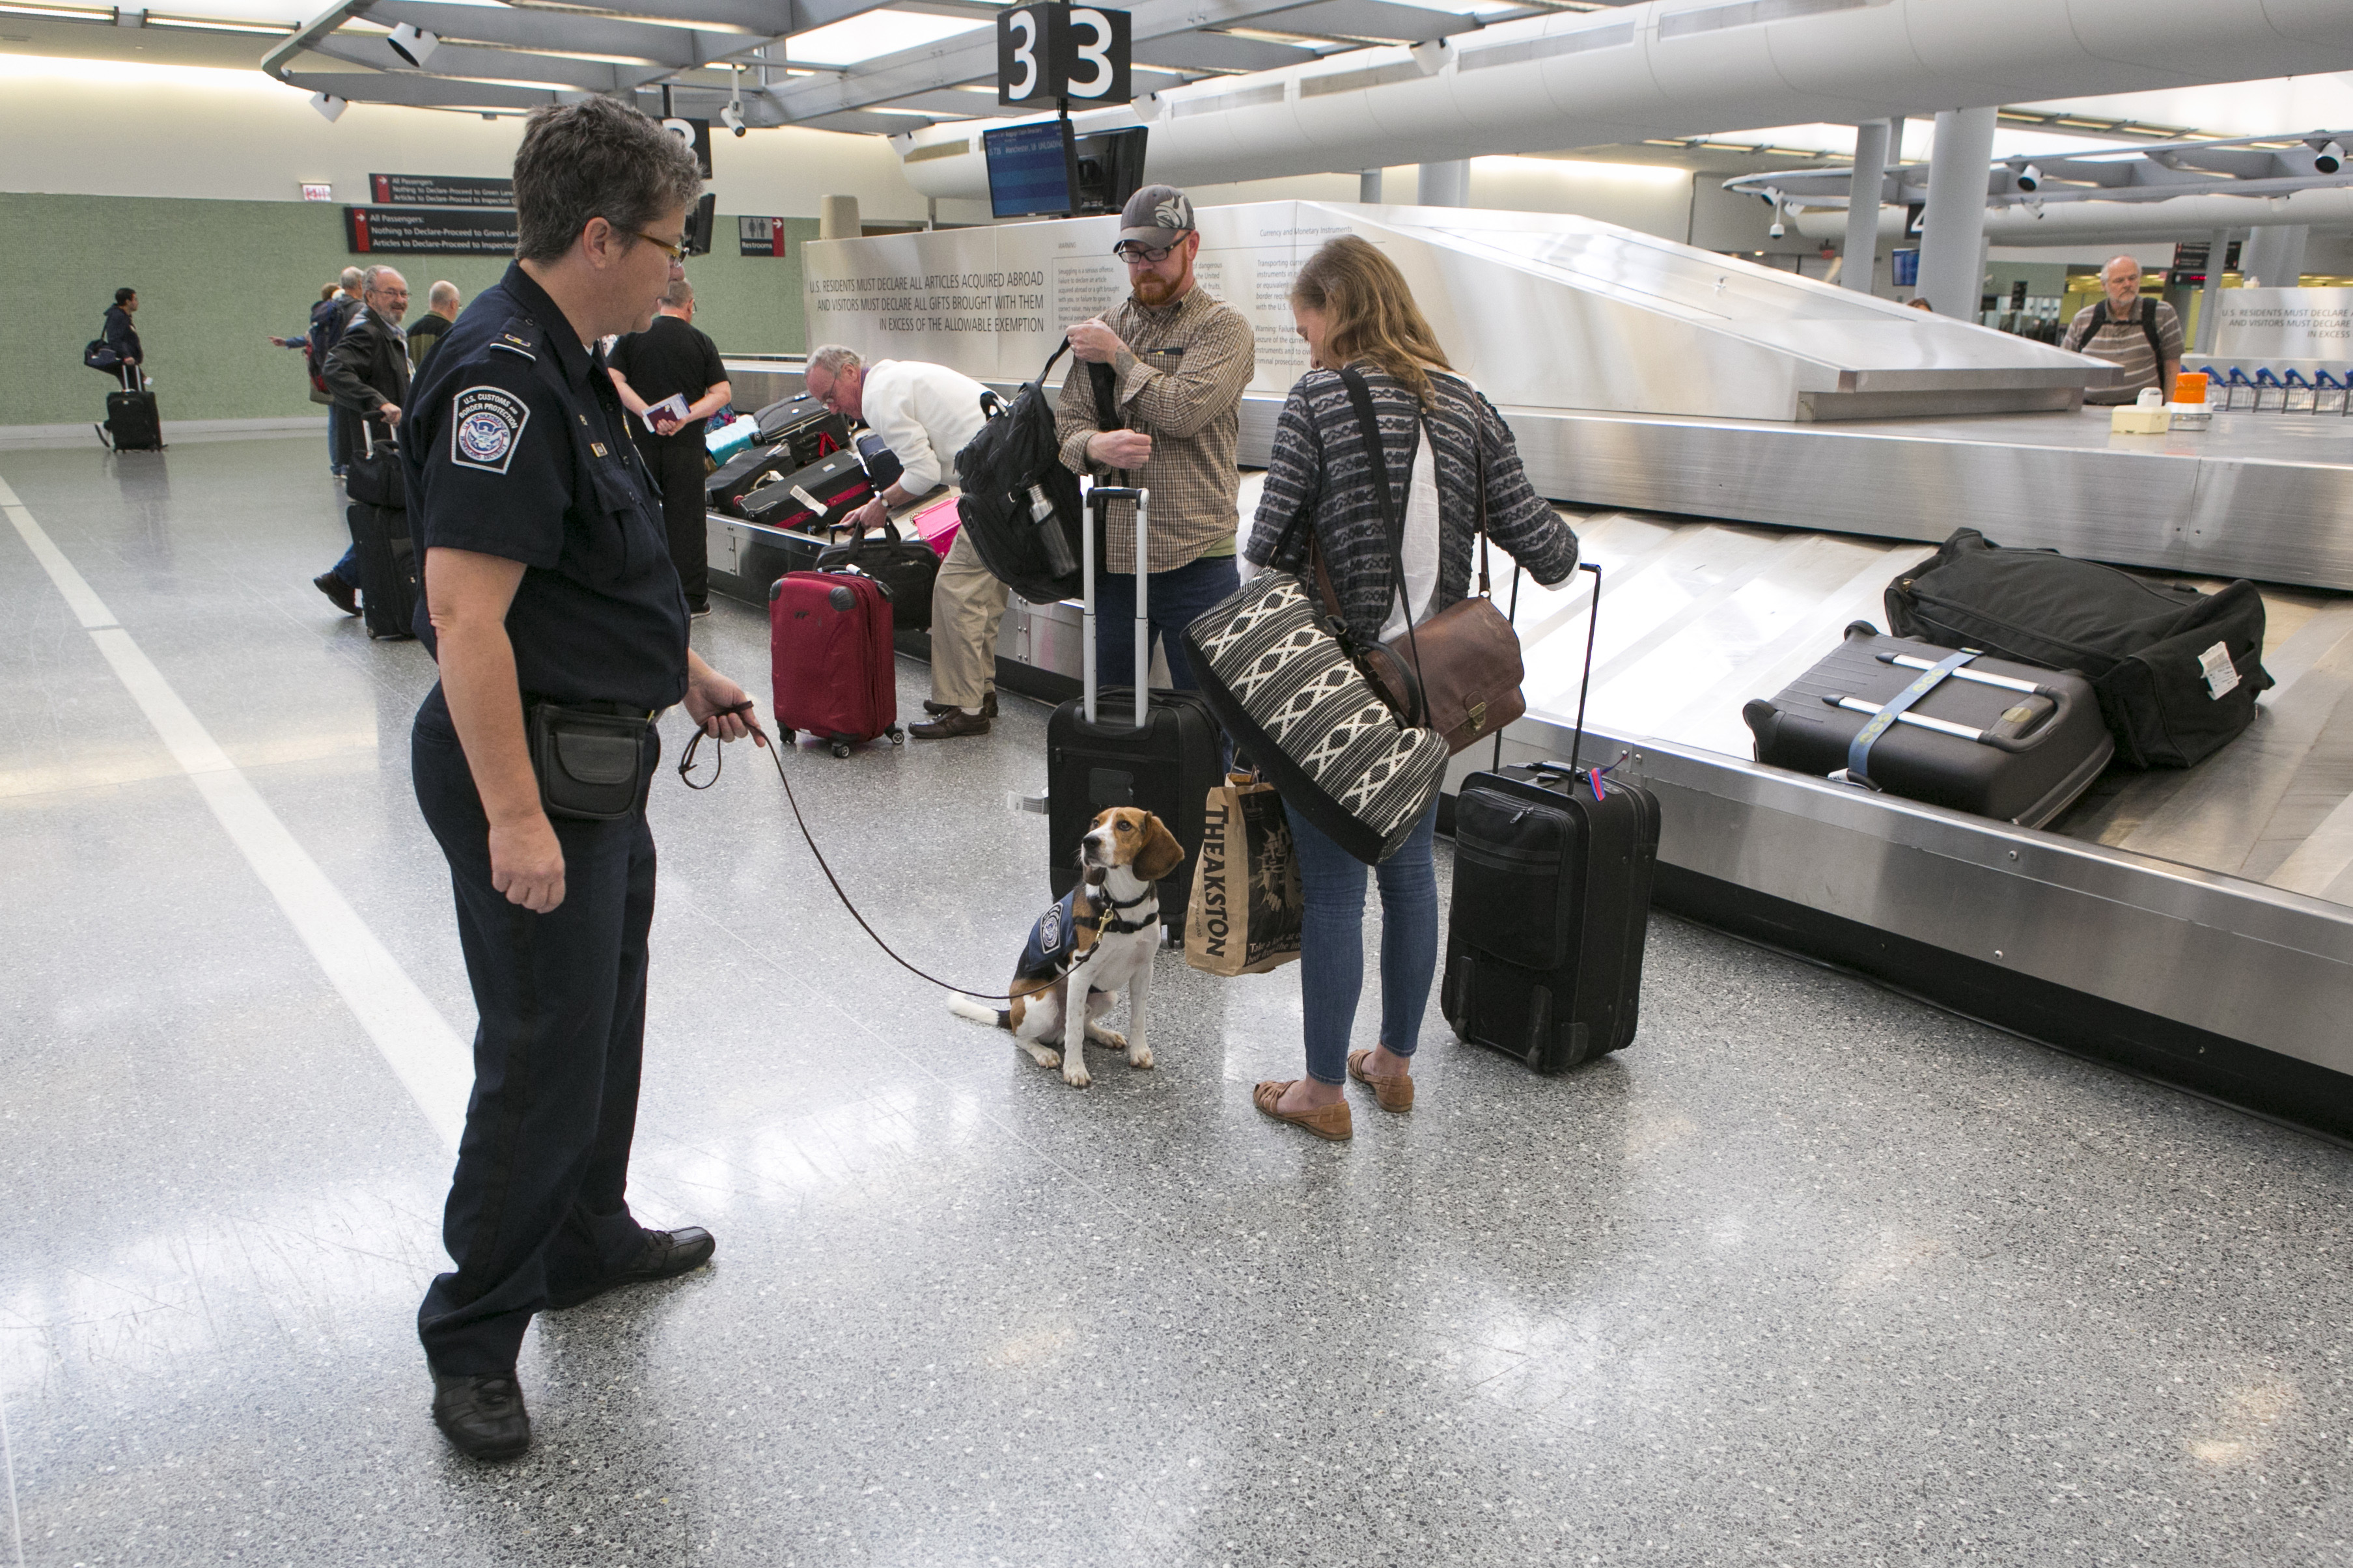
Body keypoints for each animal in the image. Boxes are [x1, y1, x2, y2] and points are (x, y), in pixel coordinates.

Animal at [945, 808, 1186, 1090]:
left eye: (1125, 825)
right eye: (1096, 822)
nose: (1088, 841)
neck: (1121, 906)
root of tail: (1012, 1010)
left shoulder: (1143, 970)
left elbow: (1138, 1019)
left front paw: (1139, 1052)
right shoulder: (1081, 974)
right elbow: (1074, 1033)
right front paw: (1075, 1070)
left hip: (1108, 996)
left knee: (1081, 1022)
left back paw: (1104, 1035)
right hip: (1043, 1005)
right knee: (1025, 1036)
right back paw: (1044, 1053)